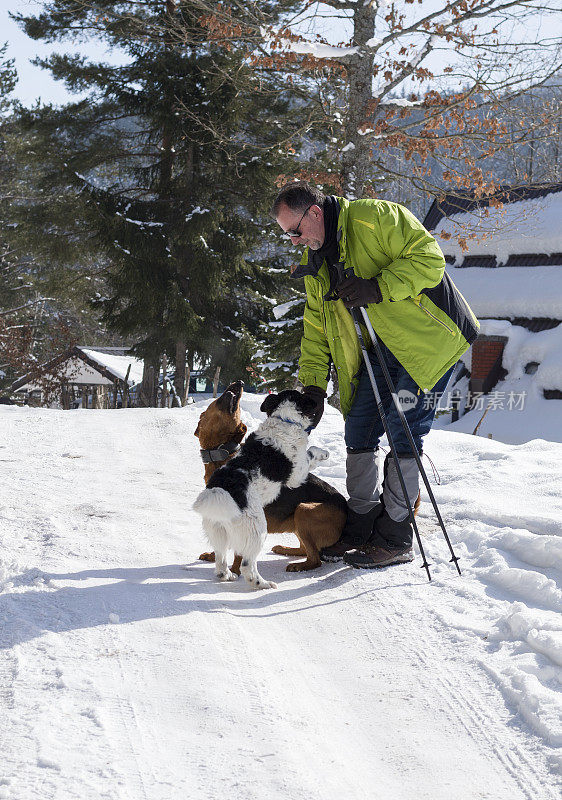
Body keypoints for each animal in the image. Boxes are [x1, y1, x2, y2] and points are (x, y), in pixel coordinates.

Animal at [194, 382, 346, 576]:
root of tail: (346, 509)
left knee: (315, 559)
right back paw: (284, 550)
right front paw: (216, 557)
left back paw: (298, 565)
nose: (238, 383)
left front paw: (235, 569)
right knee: (306, 551)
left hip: (303, 510)